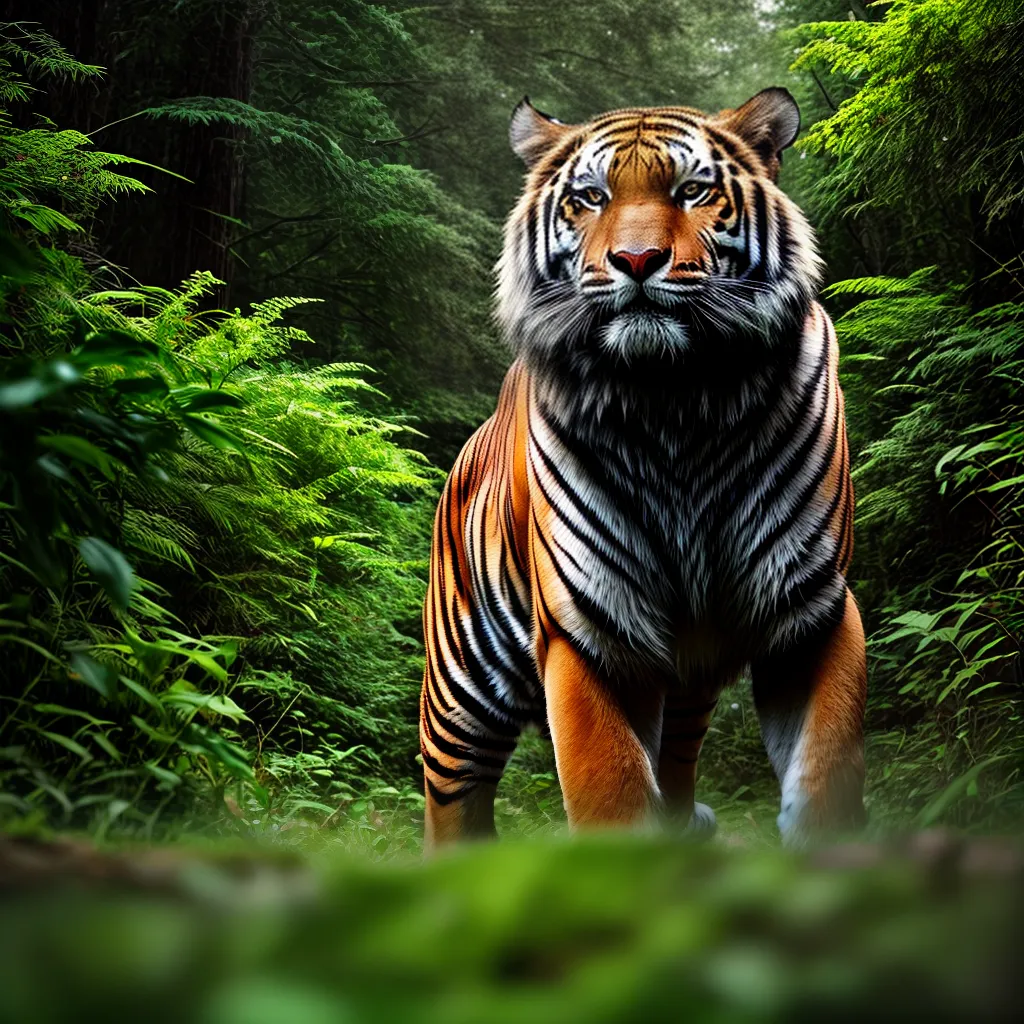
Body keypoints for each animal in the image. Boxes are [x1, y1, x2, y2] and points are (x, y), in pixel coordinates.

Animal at [419, 87, 867, 848]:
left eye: (693, 191)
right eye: (590, 197)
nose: (636, 259)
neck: (674, 401)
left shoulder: (814, 610)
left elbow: (828, 779)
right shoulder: (589, 632)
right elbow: (612, 797)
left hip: (687, 679)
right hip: (459, 694)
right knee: (454, 800)